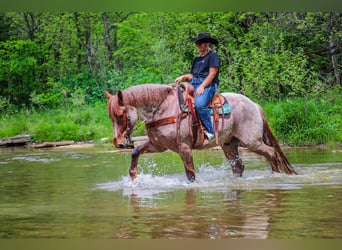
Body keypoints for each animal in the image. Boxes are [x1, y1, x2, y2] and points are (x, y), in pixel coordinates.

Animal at [105, 83, 296, 181]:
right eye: (110, 116)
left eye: (121, 115)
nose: (119, 143)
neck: (163, 109)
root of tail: (254, 105)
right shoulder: (157, 145)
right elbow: (136, 152)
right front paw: (133, 177)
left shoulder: (184, 147)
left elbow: (190, 173)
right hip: (229, 145)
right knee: (239, 166)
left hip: (252, 142)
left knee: (271, 153)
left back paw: (276, 176)